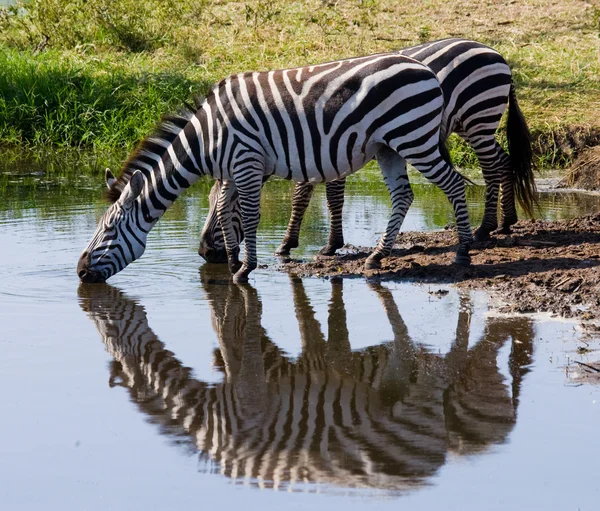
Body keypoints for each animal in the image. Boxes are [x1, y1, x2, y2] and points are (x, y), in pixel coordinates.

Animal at [77, 51, 476, 284]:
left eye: (108, 229)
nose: (80, 272)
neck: (206, 139)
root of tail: (424, 68)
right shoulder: (230, 170)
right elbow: (223, 213)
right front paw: (232, 260)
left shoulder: (246, 161)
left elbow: (249, 216)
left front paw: (245, 269)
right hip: (388, 146)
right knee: (404, 195)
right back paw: (377, 258)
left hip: (413, 138)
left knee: (454, 185)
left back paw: (463, 251)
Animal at [198, 39, 536, 264]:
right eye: (209, 201)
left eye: (232, 206)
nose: (204, 252)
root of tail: (496, 53)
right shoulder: (319, 150)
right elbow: (309, 194)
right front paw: (299, 241)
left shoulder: (326, 147)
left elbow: (320, 196)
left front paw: (312, 244)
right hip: (475, 124)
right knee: (503, 161)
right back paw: (506, 221)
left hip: (477, 119)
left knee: (491, 166)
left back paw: (485, 228)